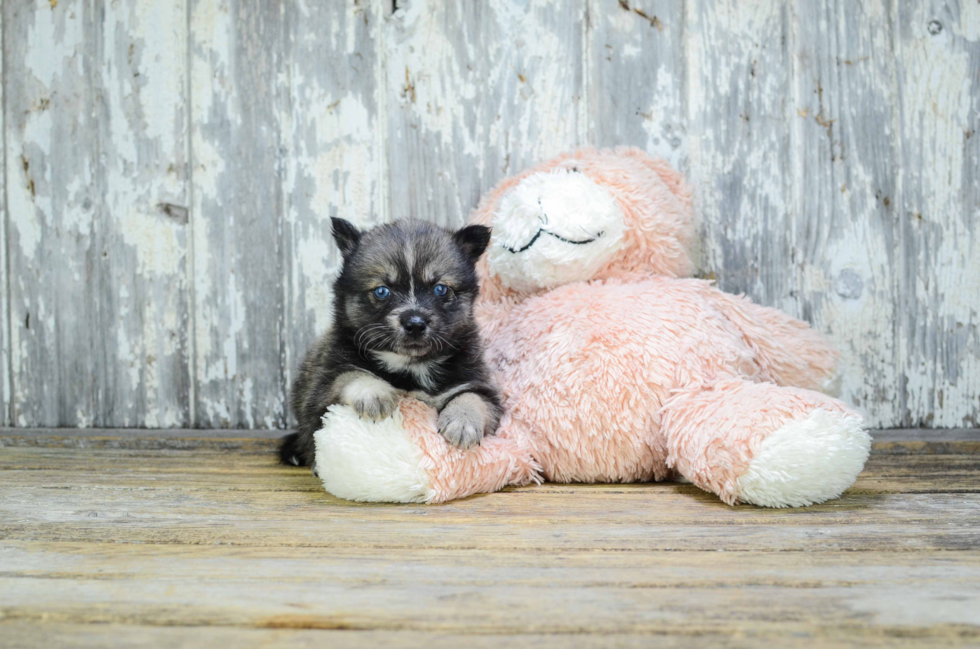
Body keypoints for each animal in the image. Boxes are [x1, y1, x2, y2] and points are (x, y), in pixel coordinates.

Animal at [280, 218, 502, 466]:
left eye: (440, 288)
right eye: (382, 291)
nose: (415, 324)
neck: (410, 365)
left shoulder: (479, 385)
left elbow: (473, 397)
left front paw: (463, 422)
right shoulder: (321, 392)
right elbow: (349, 374)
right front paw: (373, 392)